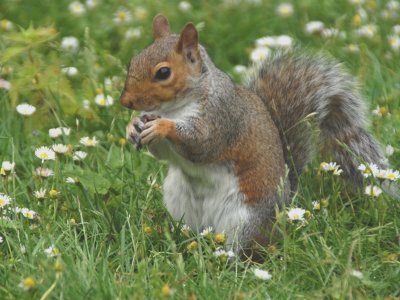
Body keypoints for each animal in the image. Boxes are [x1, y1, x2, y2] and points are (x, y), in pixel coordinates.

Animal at [119, 15, 388, 255]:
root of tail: (285, 206)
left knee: (247, 247)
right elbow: (162, 153)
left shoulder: (222, 117)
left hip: (247, 220)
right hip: (180, 205)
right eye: (132, 61)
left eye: (163, 73)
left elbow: (201, 143)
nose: (126, 102)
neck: (174, 108)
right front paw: (132, 126)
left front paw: (163, 127)